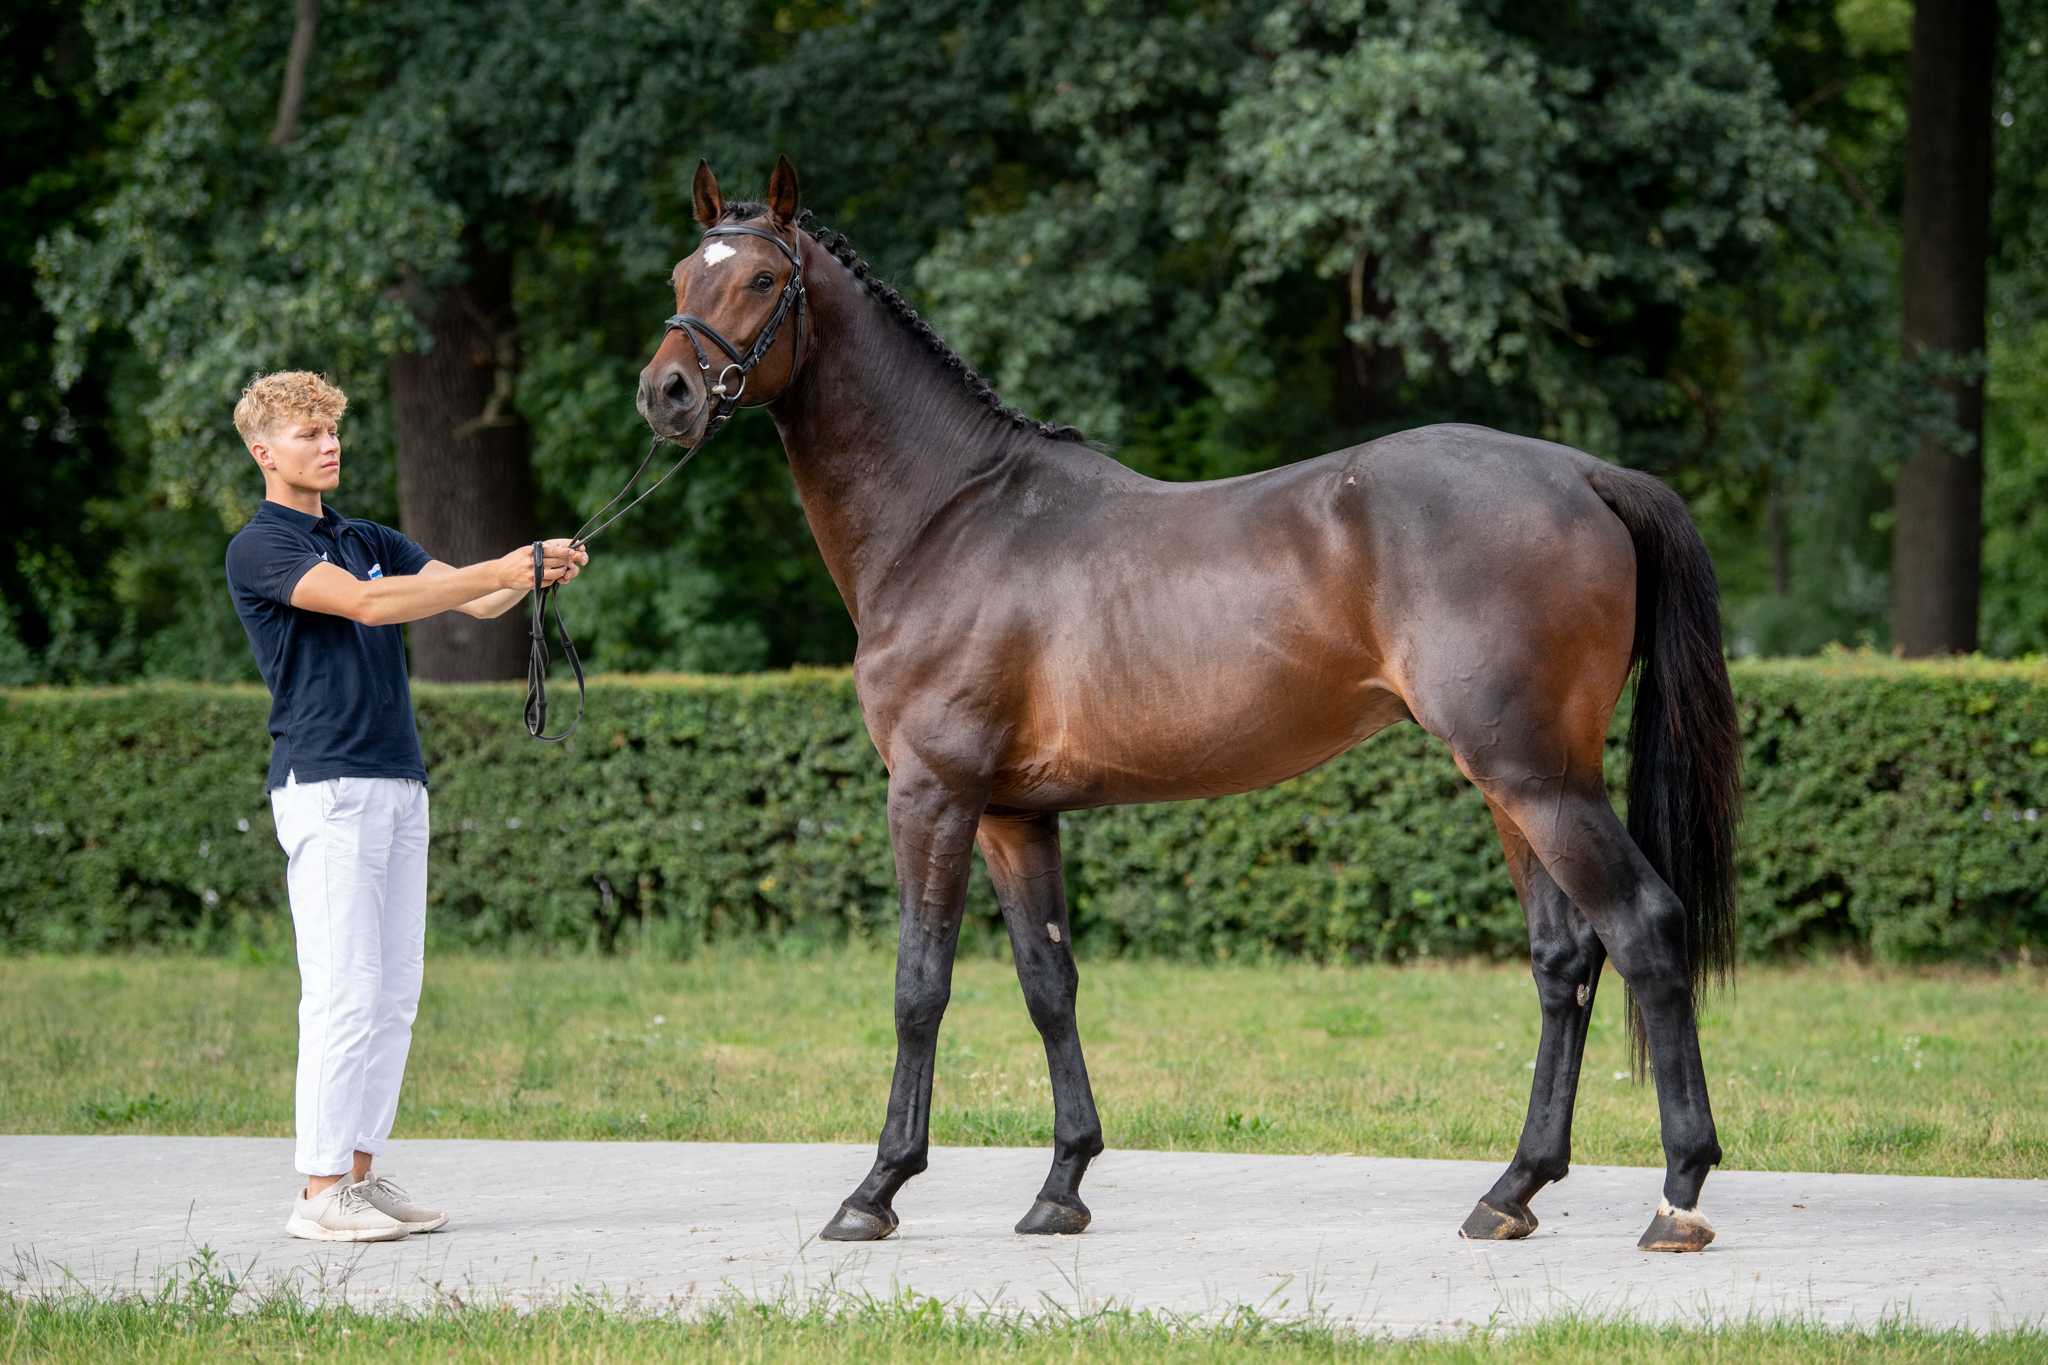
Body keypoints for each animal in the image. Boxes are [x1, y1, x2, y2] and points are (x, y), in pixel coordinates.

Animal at [636, 156, 1741, 1254]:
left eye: (763, 281)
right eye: (682, 277)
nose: (667, 393)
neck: (951, 515)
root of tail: (1586, 474)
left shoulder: (932, 795)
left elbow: (920, 988)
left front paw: (876, 1189)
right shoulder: (1013, 815)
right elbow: (1049, 987)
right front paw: (1062, 1185)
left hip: (1536, 778)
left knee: (1643, 929)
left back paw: (1678, 1195)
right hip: (1517, 784)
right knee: (1564, 961)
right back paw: (1512, 1189)